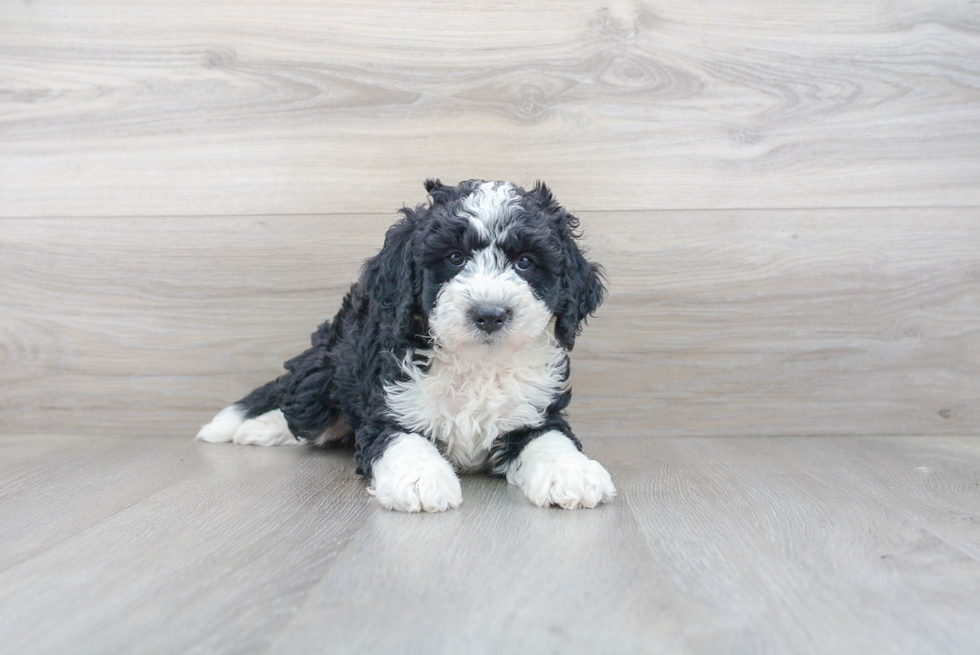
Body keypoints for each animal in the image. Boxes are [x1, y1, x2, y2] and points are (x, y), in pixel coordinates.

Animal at [195, 179, 616, 512]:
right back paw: (259, 428)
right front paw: (419, 480)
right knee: (304, 411)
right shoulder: (388, 406)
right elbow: (403, 439)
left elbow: (551, 439)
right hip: (321, 376)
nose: (490, 314)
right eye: (454, 257)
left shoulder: (536, 411)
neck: (476, 363)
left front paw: (572, 472)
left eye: (525, 262)